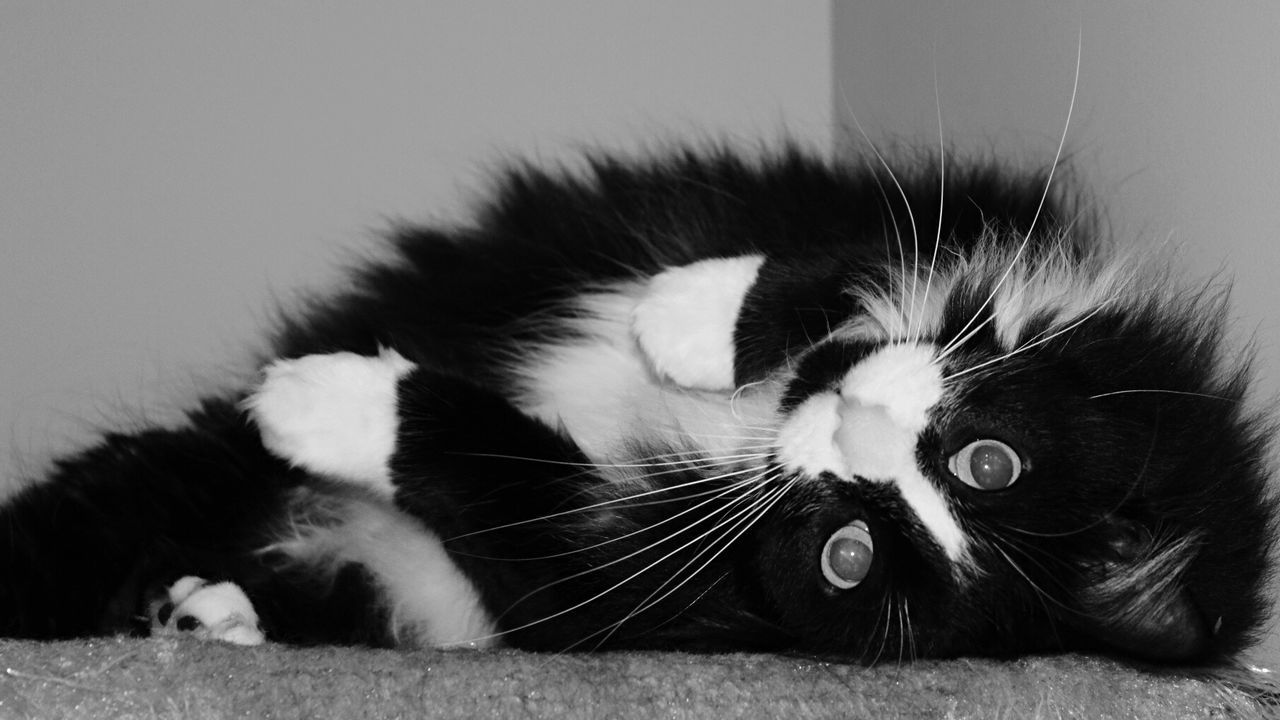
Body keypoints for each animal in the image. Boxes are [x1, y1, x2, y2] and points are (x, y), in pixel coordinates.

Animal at [0, 144, 1274, 661]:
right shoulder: (1011, 244)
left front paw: (336, 403)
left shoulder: (629, 598)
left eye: (846, 561)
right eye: (988, 465)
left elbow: (520, 487)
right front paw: (687, 321)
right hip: (185, 471)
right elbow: (845, 261)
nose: (846, 429)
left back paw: (202, 614)